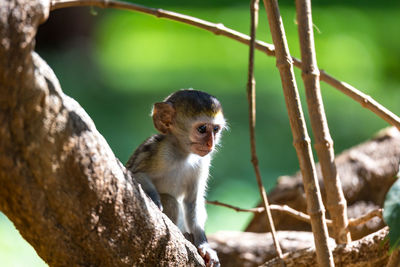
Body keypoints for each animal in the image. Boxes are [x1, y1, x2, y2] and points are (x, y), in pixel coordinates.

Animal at [126, 89, 225, 267]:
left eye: (215, 129)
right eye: (202, 129)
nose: (210, 144)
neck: (182, 153)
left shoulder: (202, 162)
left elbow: (192, 201)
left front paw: (204, 245)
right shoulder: (160, 152)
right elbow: (135, 174)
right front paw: (154, 199)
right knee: (170, 200)